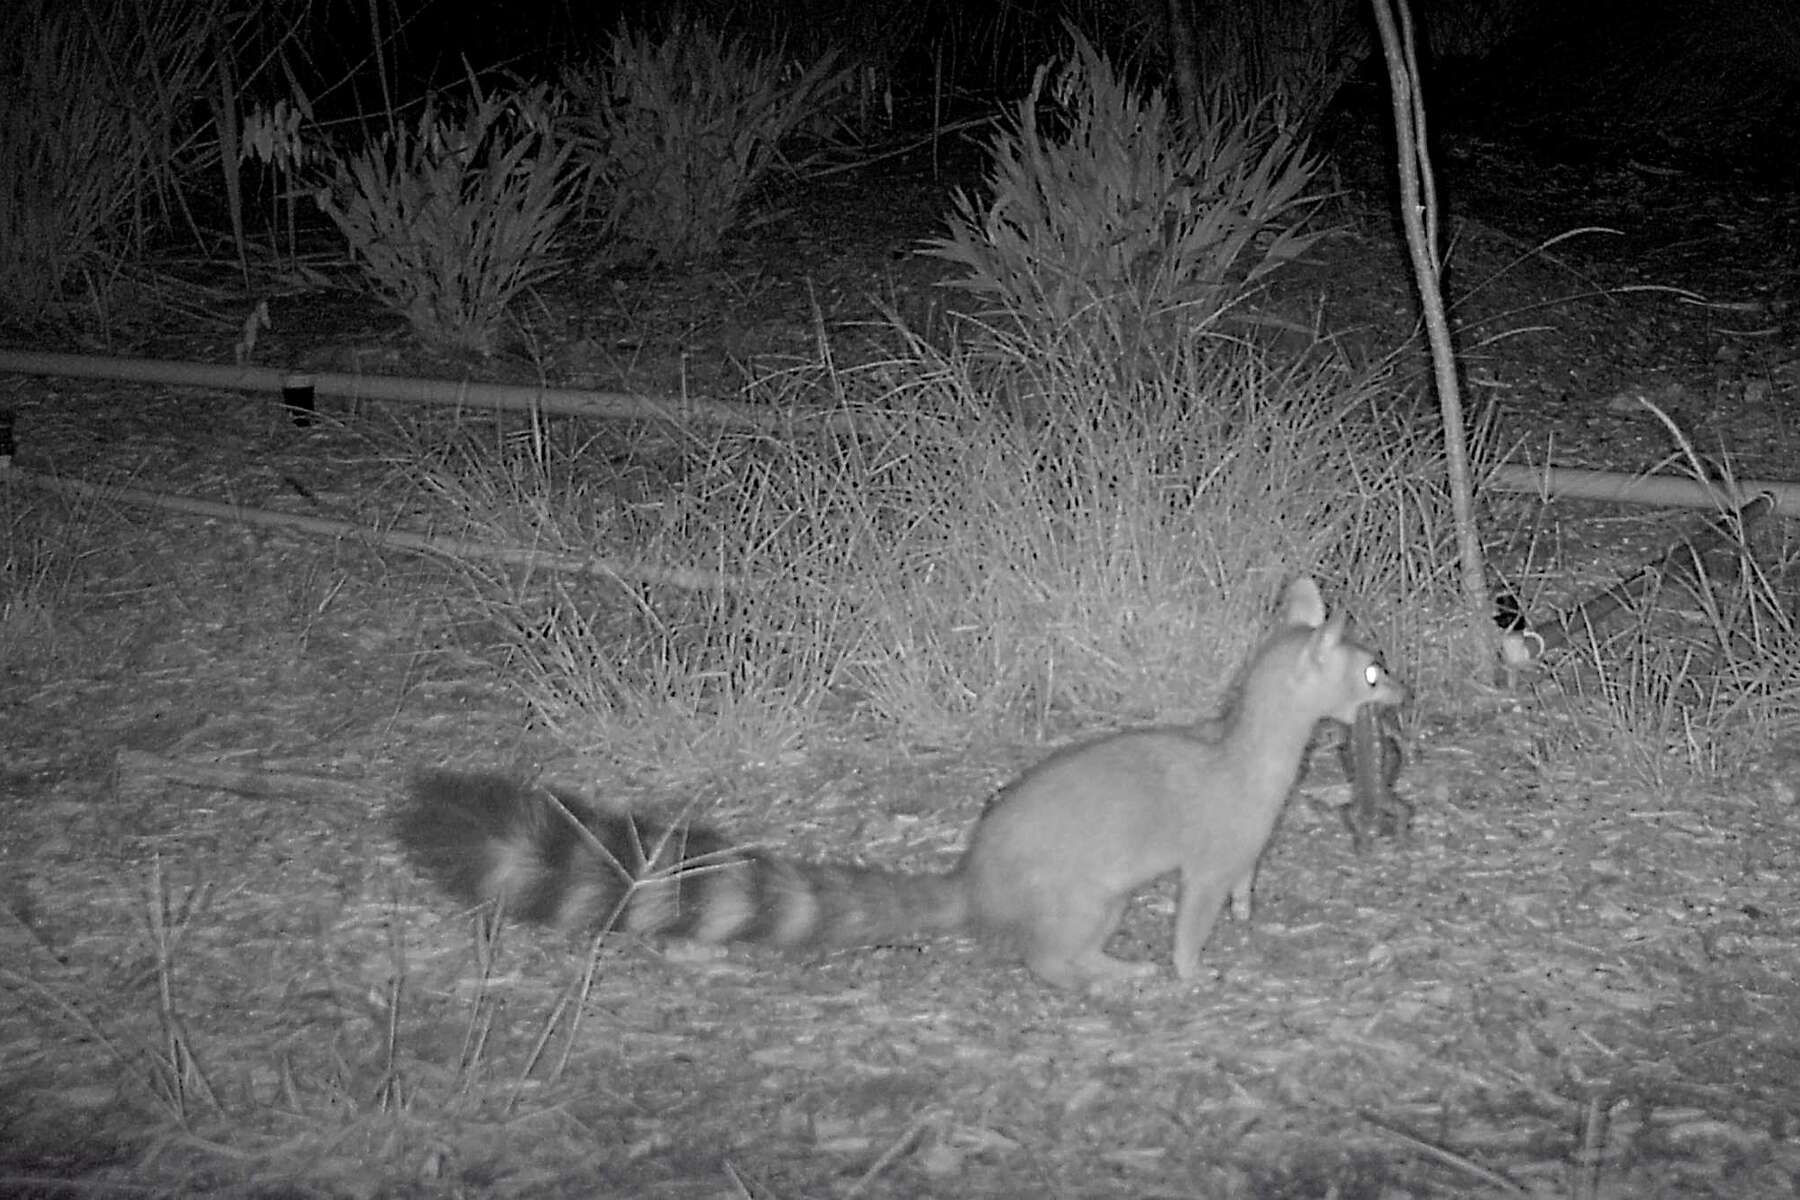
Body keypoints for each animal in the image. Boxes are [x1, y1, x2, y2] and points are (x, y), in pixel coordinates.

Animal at [394, 575, 1404, 993]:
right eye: (1372, 671)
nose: (1408, 691)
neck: (1249, 749)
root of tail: (974, 880)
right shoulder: (1210, 841)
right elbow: (1195, 905)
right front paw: (1193, 968)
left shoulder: (1246, 841)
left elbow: (1240, 883)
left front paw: (1249, 913)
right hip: (1083, 892)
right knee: (1051, 952)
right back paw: (1102, 971)